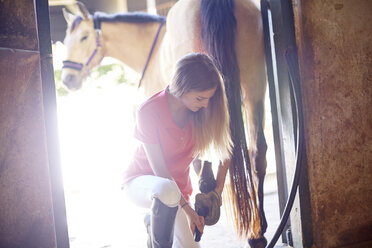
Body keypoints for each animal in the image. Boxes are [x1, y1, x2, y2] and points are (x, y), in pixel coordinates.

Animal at [62, 1, 268, 246]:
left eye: (83, 37)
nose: (68, 79)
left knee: (204, 167)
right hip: (255, 89)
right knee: (257, 153)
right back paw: (257, 231)